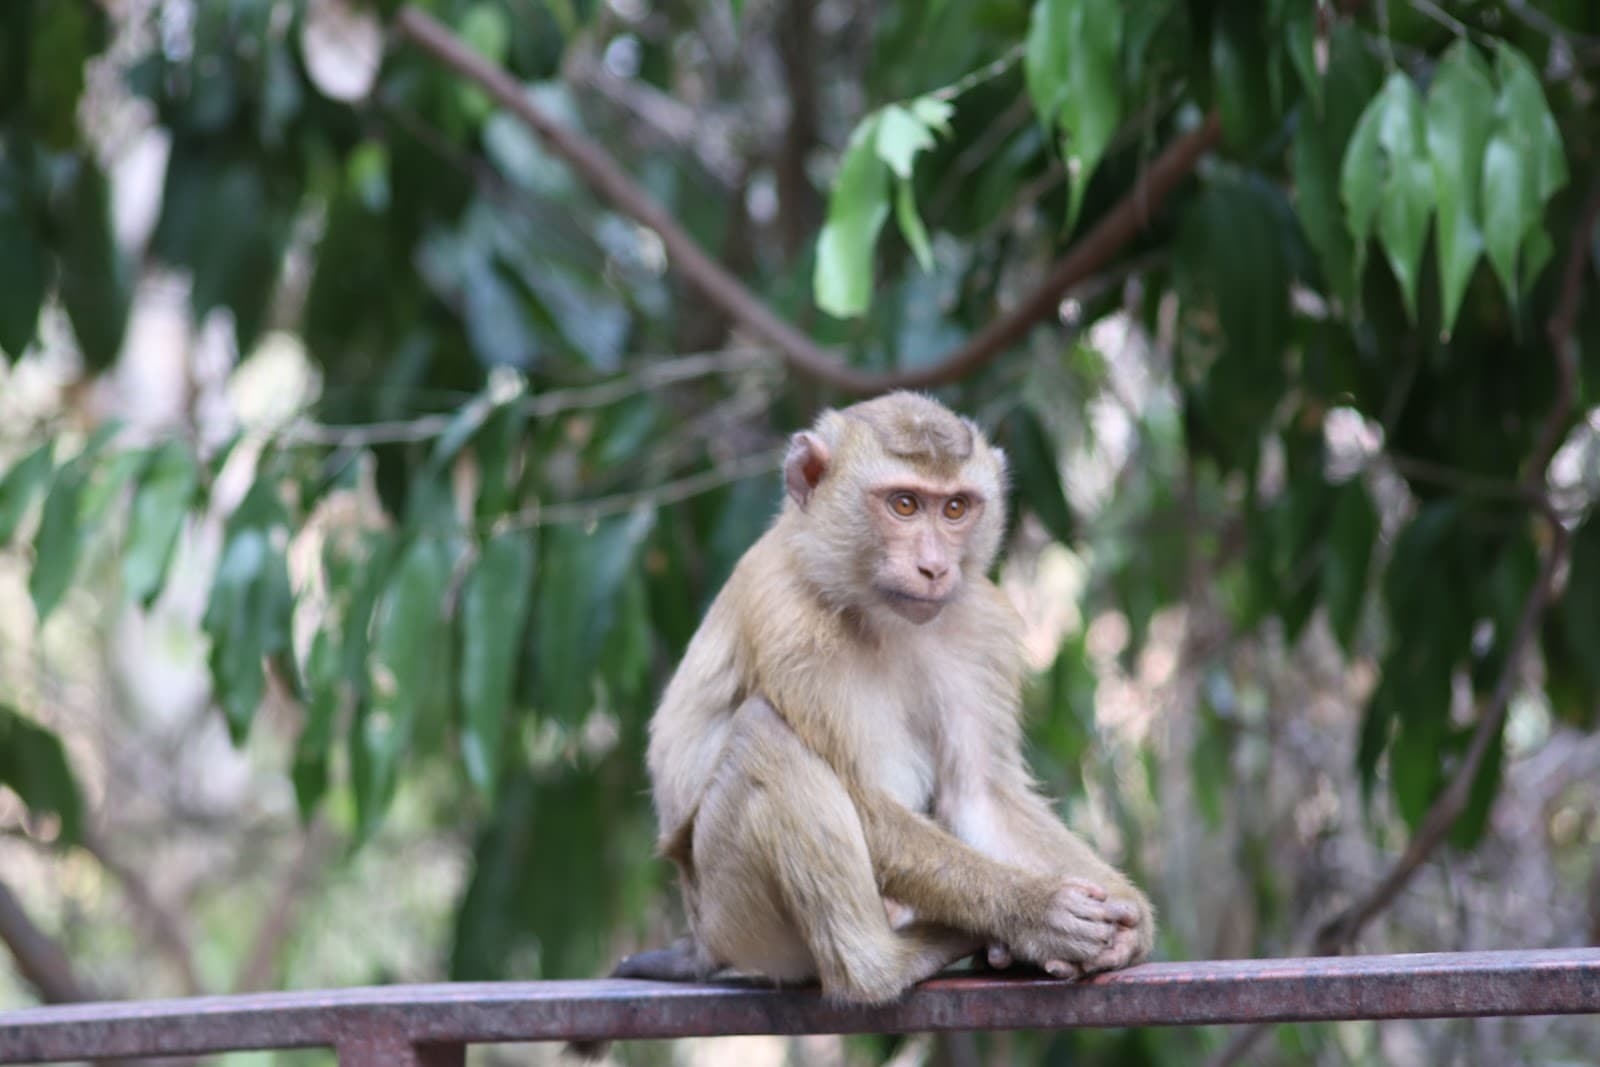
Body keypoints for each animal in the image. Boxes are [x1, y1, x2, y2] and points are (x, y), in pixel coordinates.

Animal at [601, 393, 1152, 1014]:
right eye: (904, 504)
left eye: (956, 508)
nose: (935, 567)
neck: (877, 611)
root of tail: (703, 945)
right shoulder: (787, 617)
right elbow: (865, 800)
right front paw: (1039, 912)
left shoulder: (977, 626)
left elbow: (979, 796)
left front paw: (1130, 923)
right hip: (736, 921)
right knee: (762, 735)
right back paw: (888, 963)